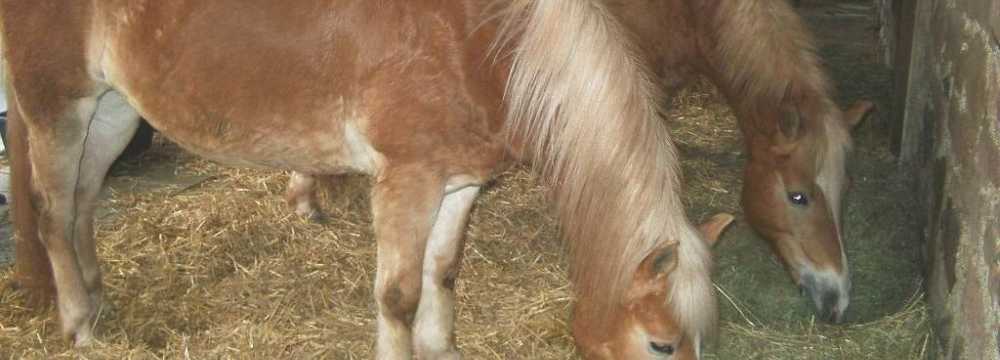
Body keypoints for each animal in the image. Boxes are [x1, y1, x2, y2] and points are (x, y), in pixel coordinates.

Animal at [0, 0, 736, 360]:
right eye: (662, 344)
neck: (483, 43)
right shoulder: (407, 180)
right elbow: (398, 296)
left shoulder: (458, 181)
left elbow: (444, 271)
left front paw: (443, 347)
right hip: (58, 106)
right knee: (50, 213)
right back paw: (79, 324)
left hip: (114, 108)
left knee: (83, 202)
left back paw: (98, 297)